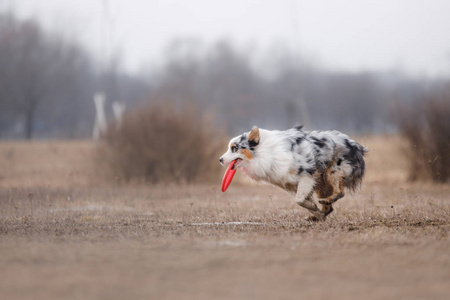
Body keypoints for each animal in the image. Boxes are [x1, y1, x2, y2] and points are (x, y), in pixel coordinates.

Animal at [220, 125, 368, 221]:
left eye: (234, 148)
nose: (220, 159)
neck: (266, 154)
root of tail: (357, 146)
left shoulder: (307, 176)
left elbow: (299, 200)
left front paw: (314, 209)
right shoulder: (293, 184)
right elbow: (303, 200)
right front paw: (316, 213)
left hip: (333, 172)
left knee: (340, 192)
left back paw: (327, 201)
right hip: (322, 182)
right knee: (329, 207)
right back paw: (320, 212)